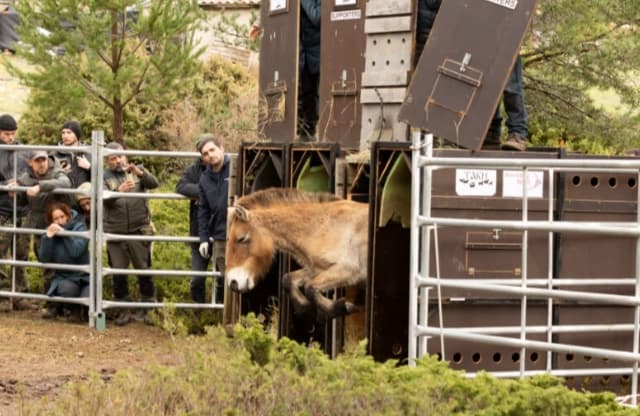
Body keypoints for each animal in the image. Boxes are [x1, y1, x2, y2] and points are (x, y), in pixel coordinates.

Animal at [225, 187, 369, 321]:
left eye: (241, 239)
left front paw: (344, 307)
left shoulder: (349, 270)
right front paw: (308, 309)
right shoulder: (317, 269)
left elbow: (310, 287)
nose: (233, 283)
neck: (323, 226)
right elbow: (289, 280)